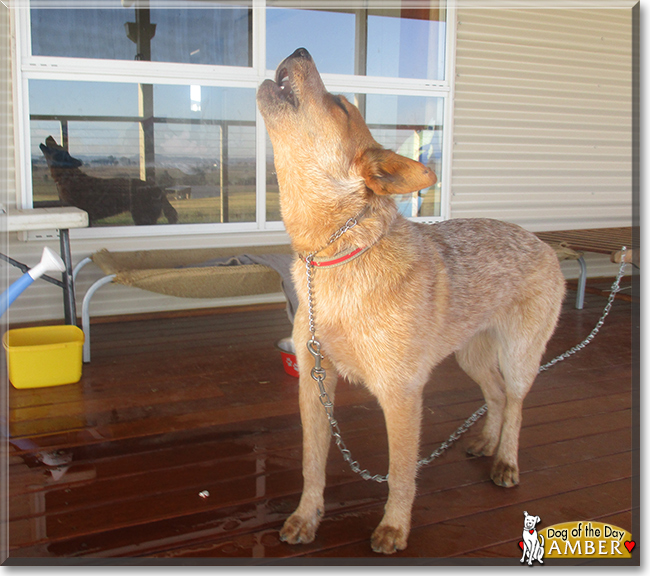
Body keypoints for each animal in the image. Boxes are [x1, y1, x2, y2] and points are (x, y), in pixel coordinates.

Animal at [256, 48, 564, 552]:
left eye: (340, 105)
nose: (301, 50)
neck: (336, 255)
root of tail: (544, 243)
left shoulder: (401, 394)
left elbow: (400, 473)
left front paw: (394, 528)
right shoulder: (315, 383)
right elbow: (312, 465)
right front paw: (306, 517)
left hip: (519, 356)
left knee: (517, 403)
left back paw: (506, 461)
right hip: (470, 355)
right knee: (496, 395)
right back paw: (486, 442)